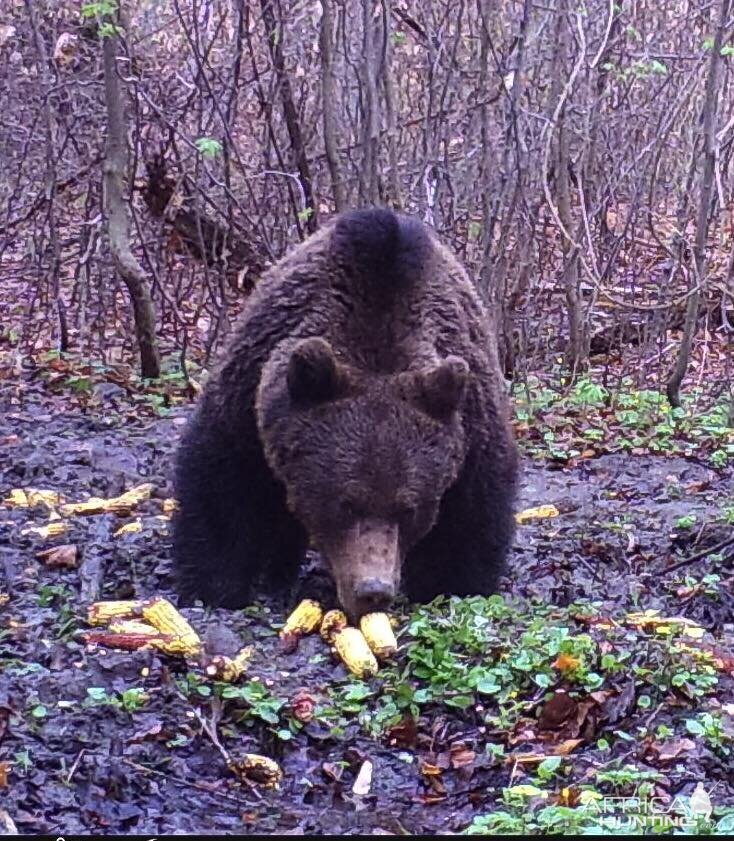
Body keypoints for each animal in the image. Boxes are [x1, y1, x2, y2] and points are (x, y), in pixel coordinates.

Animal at [174, 208, 516, 620]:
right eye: (345, 502)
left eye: (408, 508)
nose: (373, 590)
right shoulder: (251, 395)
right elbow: (223, 484)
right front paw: (215, 587)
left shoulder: (469, 424)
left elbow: (471, 519)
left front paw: (452, 586)